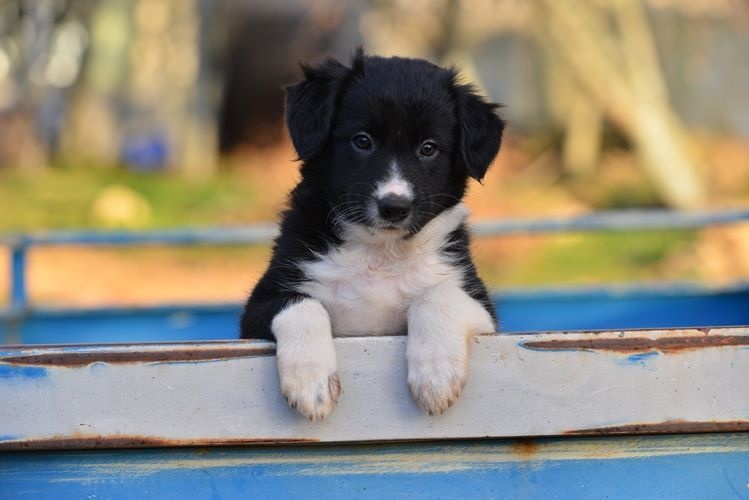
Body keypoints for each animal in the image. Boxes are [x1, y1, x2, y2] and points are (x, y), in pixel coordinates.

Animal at [243, 49, 506, 418]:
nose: (394, 207)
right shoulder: (260, 303)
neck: (381, 251)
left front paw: (436, 376)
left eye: (429, 148)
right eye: (362, 141)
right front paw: (312, 384)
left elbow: (437, 295)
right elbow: (302, 304)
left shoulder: (483, 311)